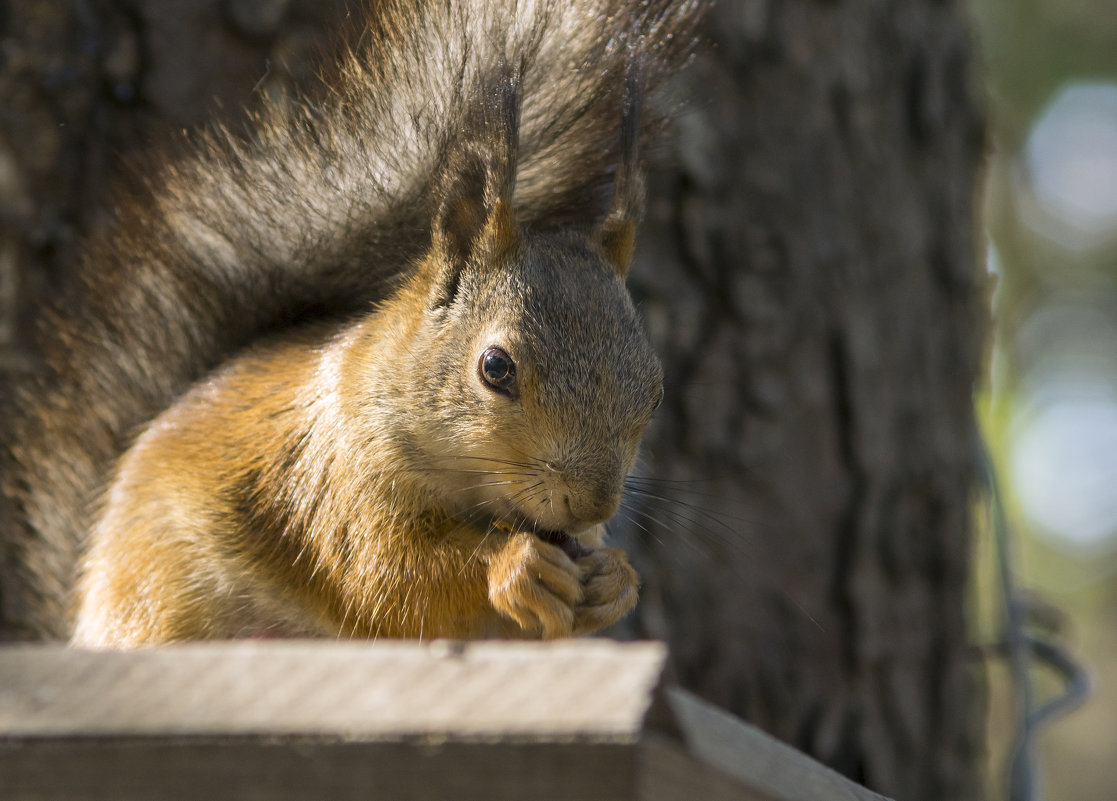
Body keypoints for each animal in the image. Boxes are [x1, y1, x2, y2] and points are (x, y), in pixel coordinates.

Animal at [0, 0, 697, 647]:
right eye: (495, 368)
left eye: (656, 389)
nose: (591, 505)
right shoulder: (335, 484)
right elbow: (387, 577)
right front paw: (516, 567)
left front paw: (616, 581)